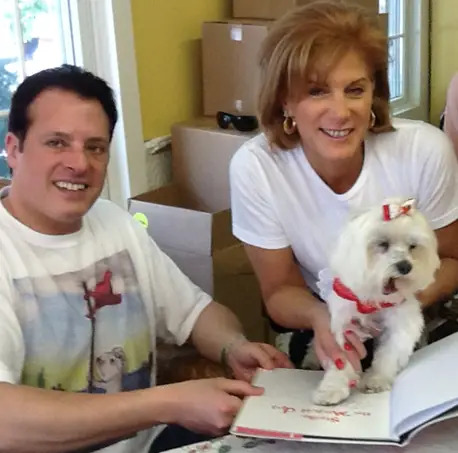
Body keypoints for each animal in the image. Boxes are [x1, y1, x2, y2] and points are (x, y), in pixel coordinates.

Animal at [312, 200, 440, 404]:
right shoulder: (344, 326)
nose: (405, 266)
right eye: (382, 244)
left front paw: (376, 379)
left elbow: (388, 354)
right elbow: (341, 358)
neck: (374, 299)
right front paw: (331, 388)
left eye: (412, 246)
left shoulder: (400, 324)